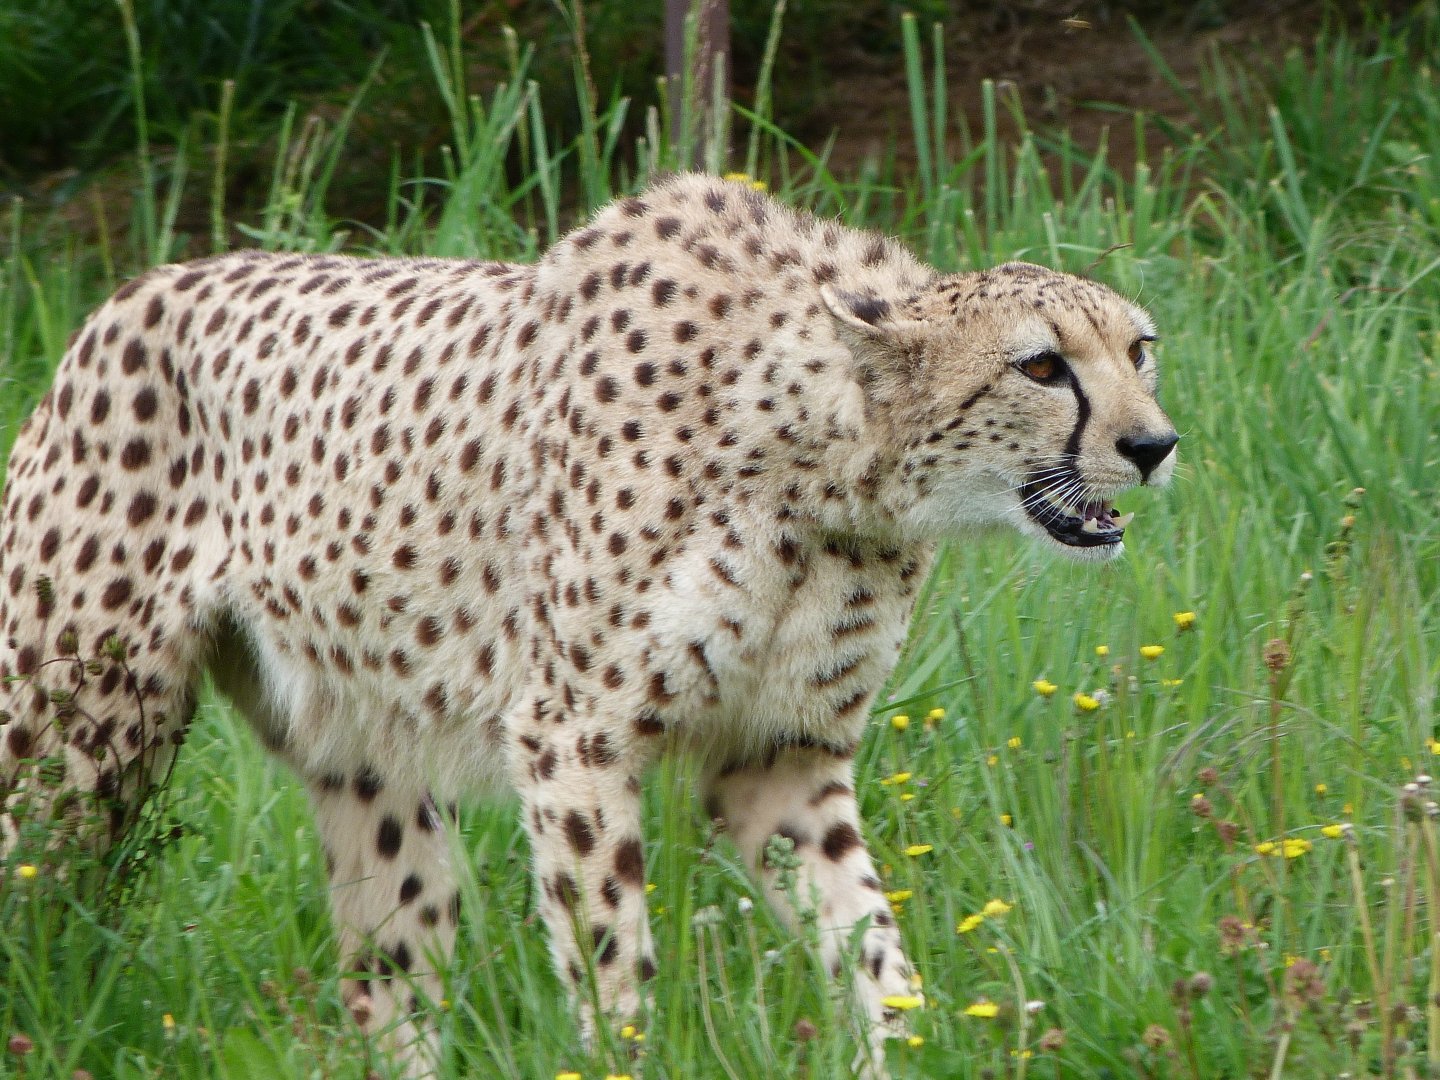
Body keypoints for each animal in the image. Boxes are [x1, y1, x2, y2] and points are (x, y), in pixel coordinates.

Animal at [0, 172, 1177, 1075]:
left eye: (1140, 350)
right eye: (1041, 365)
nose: (1156, 444)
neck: (832, 471)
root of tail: (129, 290)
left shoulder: (780, 752)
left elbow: (868, 942)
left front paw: (916, 1044)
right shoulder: (573, 736)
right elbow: (611, 950)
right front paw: (623, 1052)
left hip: (367, 759)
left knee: (389, 970)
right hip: (79, 730)